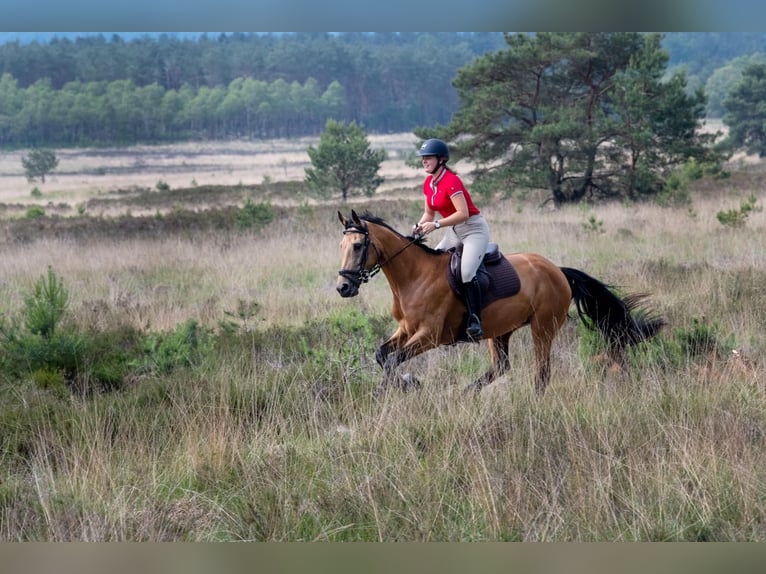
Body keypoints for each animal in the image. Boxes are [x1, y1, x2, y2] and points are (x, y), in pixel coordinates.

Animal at [336, 210, 664, 396]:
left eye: (358, 245)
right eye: (341, 245)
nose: (343, 287)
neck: (415, 276)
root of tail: (557, 270)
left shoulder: (430, 335)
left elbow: (393, 359)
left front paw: (402, 385)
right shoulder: (406, 329)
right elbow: (383, 355)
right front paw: (396, 386)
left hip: (543, 327)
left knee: (541, 371)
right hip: (499, 330)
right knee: (501, 367)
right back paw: (465, 393)